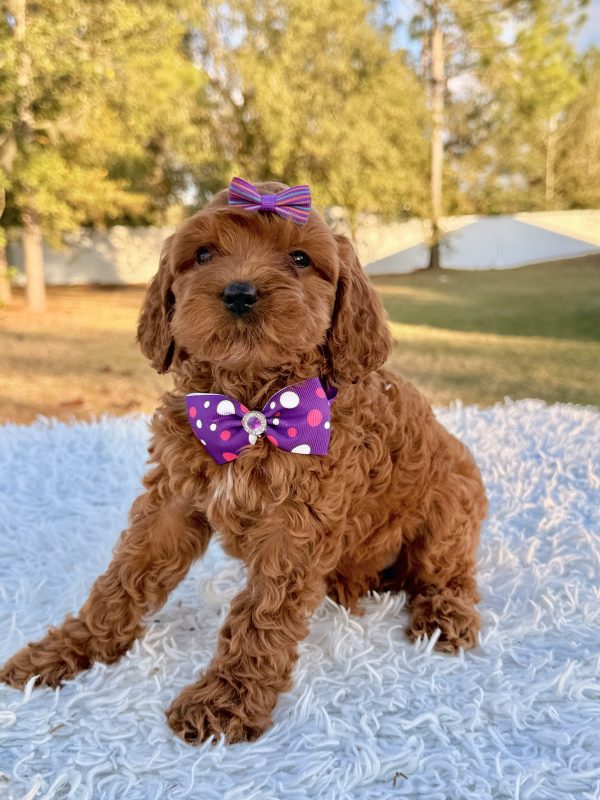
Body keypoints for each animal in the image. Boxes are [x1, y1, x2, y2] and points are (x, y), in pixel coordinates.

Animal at [0, 179, 487, 744]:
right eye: (203, 255)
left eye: (299, 259)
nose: (239, 292)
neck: (251, 407)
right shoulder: (172, 499)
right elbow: (122, 578)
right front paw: (63, 651)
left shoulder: (296, 525)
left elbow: (261, 613)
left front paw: (225, 701)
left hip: (450, 507)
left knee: (449, 573)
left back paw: (445, 617)